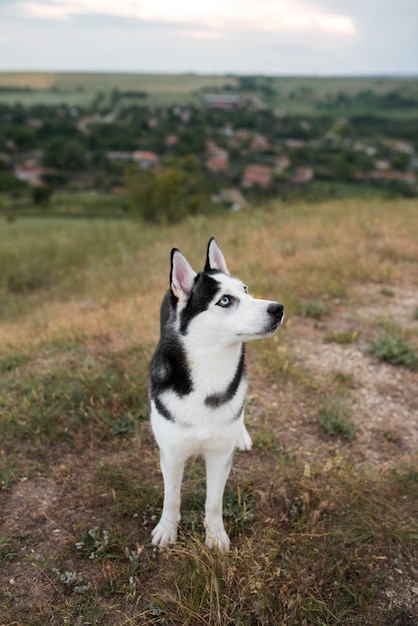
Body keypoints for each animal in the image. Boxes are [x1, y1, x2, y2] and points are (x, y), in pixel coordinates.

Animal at [149, 236, 282, 548]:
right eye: (224, 300)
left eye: (245, 291)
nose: (278, 308)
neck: (210, 370)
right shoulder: (171, 453)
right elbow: (171, 497)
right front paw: (167, 529)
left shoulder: (220, 456)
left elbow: (213, 502)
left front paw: (215, 536)